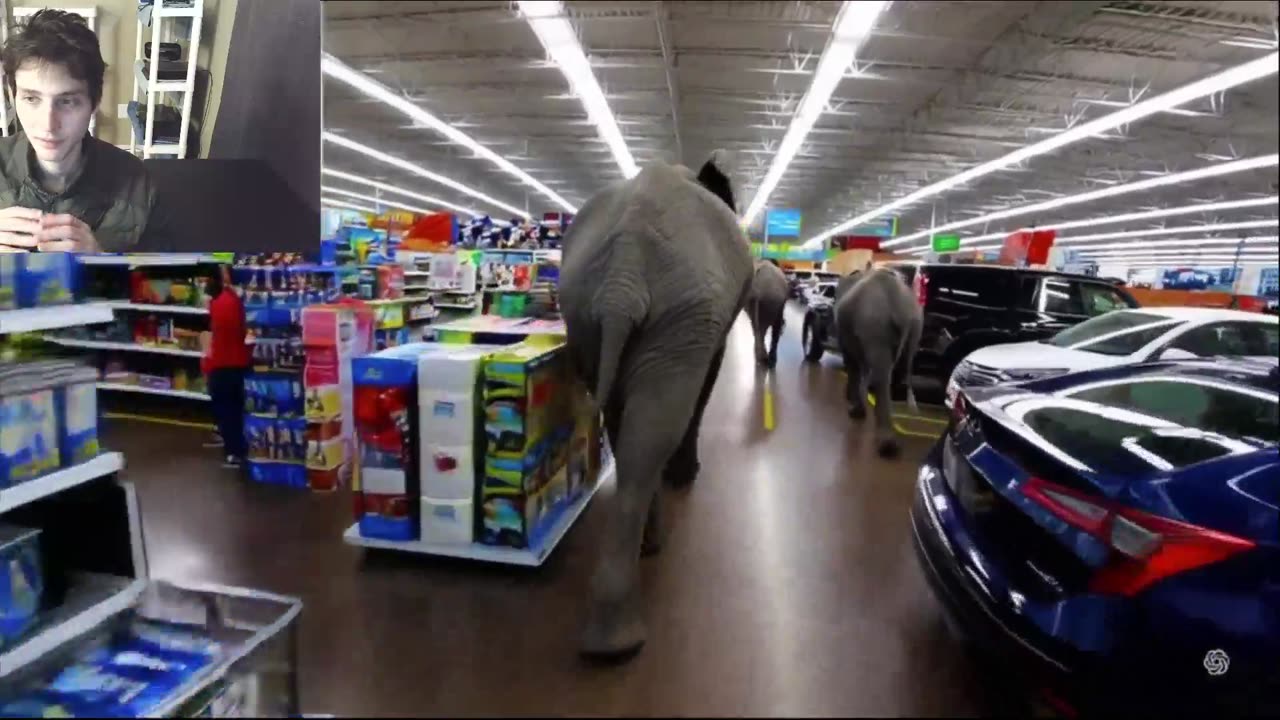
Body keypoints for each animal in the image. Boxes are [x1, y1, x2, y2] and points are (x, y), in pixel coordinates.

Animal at [558, 150, 753, 660]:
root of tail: (622, 277)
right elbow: (707, 381)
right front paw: (687, 476)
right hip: (680, 318)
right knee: (655, 429)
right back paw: (620, 643)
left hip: (588, 313)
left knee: (631, 430)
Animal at [833, 266, 923, 458]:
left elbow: (853, 363)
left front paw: (854, 408)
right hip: (915, 328)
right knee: (898, 371)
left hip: (873, 324)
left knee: (880, 377)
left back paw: (886, 446)